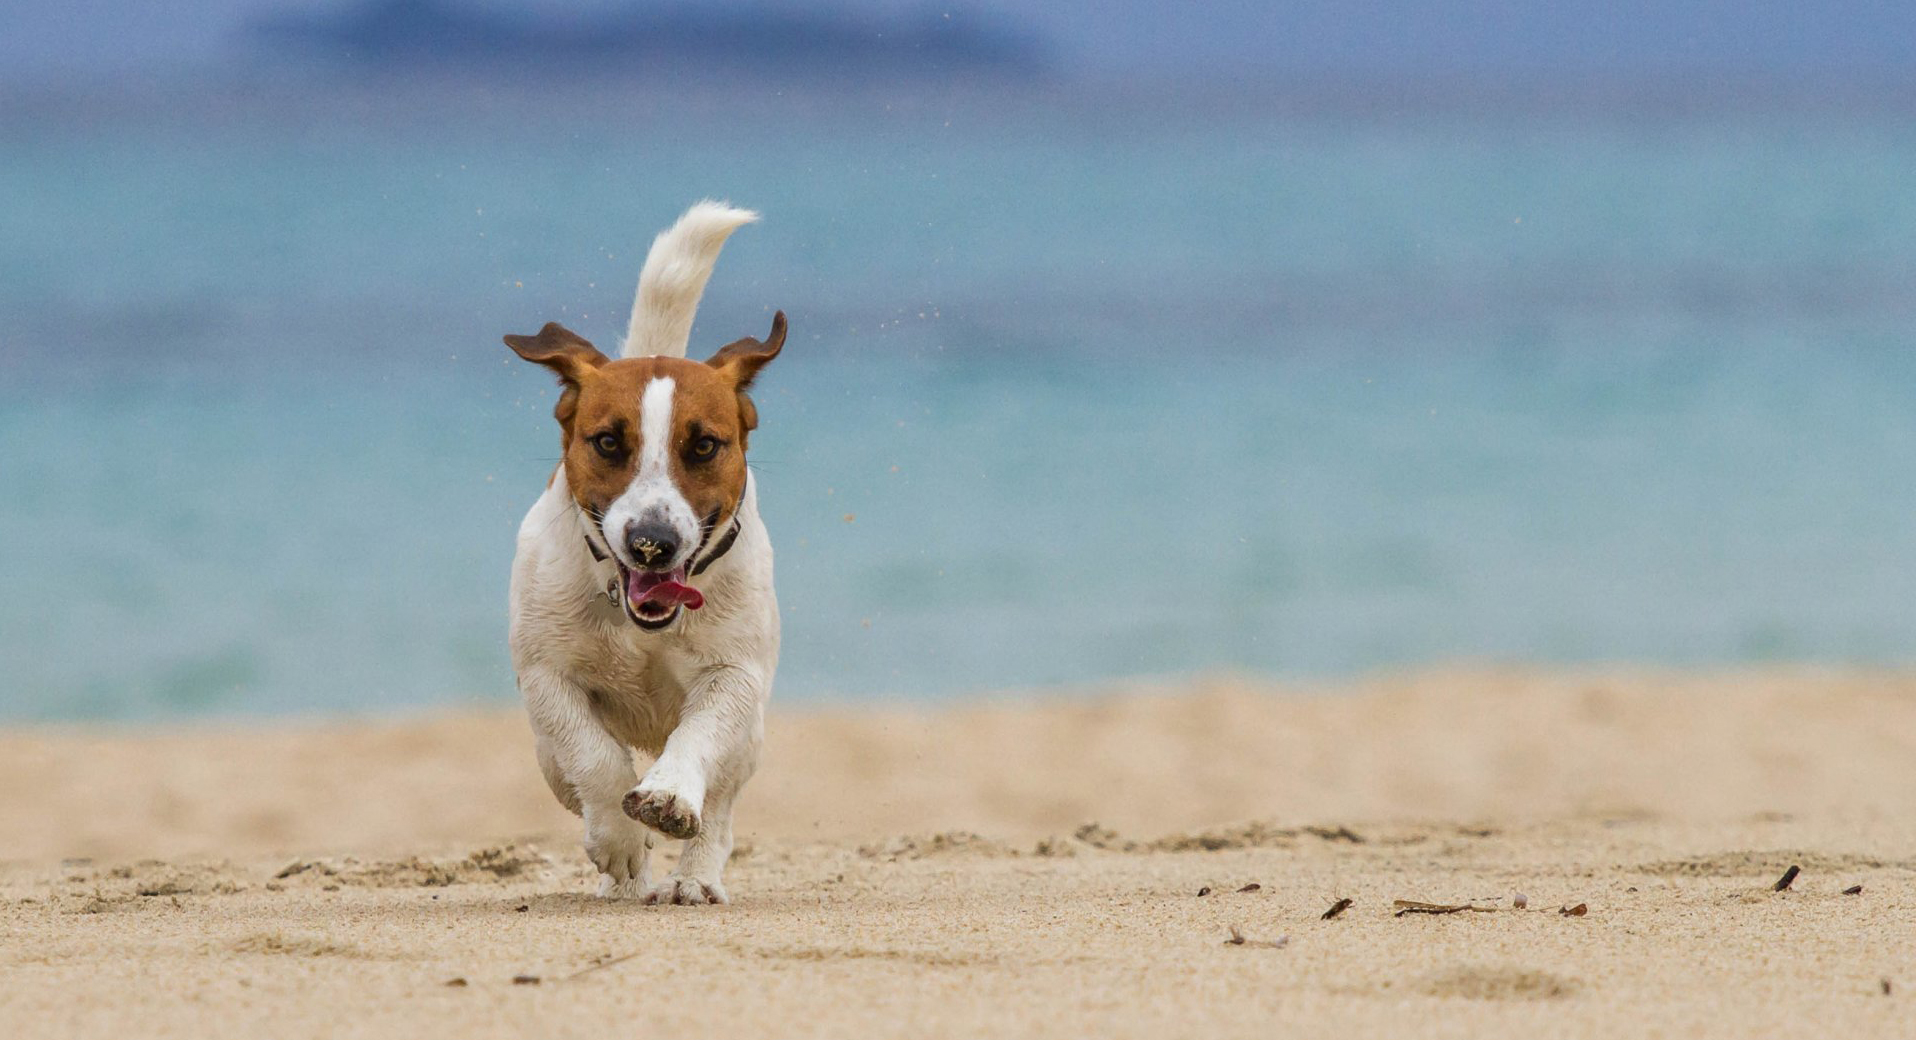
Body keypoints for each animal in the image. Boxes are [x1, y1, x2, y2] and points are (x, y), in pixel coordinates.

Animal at [505, 201, 789, 904]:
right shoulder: (547, 676)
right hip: (545, 756)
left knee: (721, 805)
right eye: (608, 442)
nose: (652, 544)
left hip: (751, 742)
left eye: (705, 445)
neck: (643, 628)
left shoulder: (736, 675)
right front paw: (621, 843)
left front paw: (666, 797)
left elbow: (698, 737)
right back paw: (625, 880)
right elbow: (594, 757)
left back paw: (694, 880)